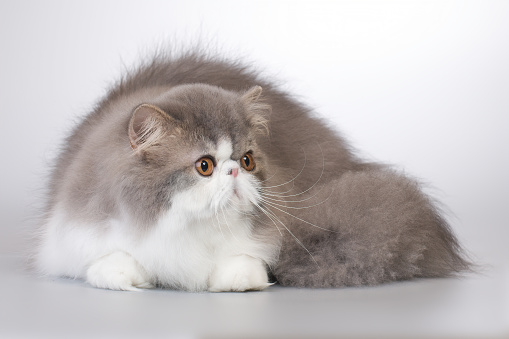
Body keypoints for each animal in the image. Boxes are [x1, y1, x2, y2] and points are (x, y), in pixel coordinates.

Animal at [35, 50, 470, 292]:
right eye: (205, 166)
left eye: (246, 160)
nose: (233, 173)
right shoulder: (77, 232)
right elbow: (111, 261)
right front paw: (129, 278)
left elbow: (244, 263)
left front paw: (238, 282)